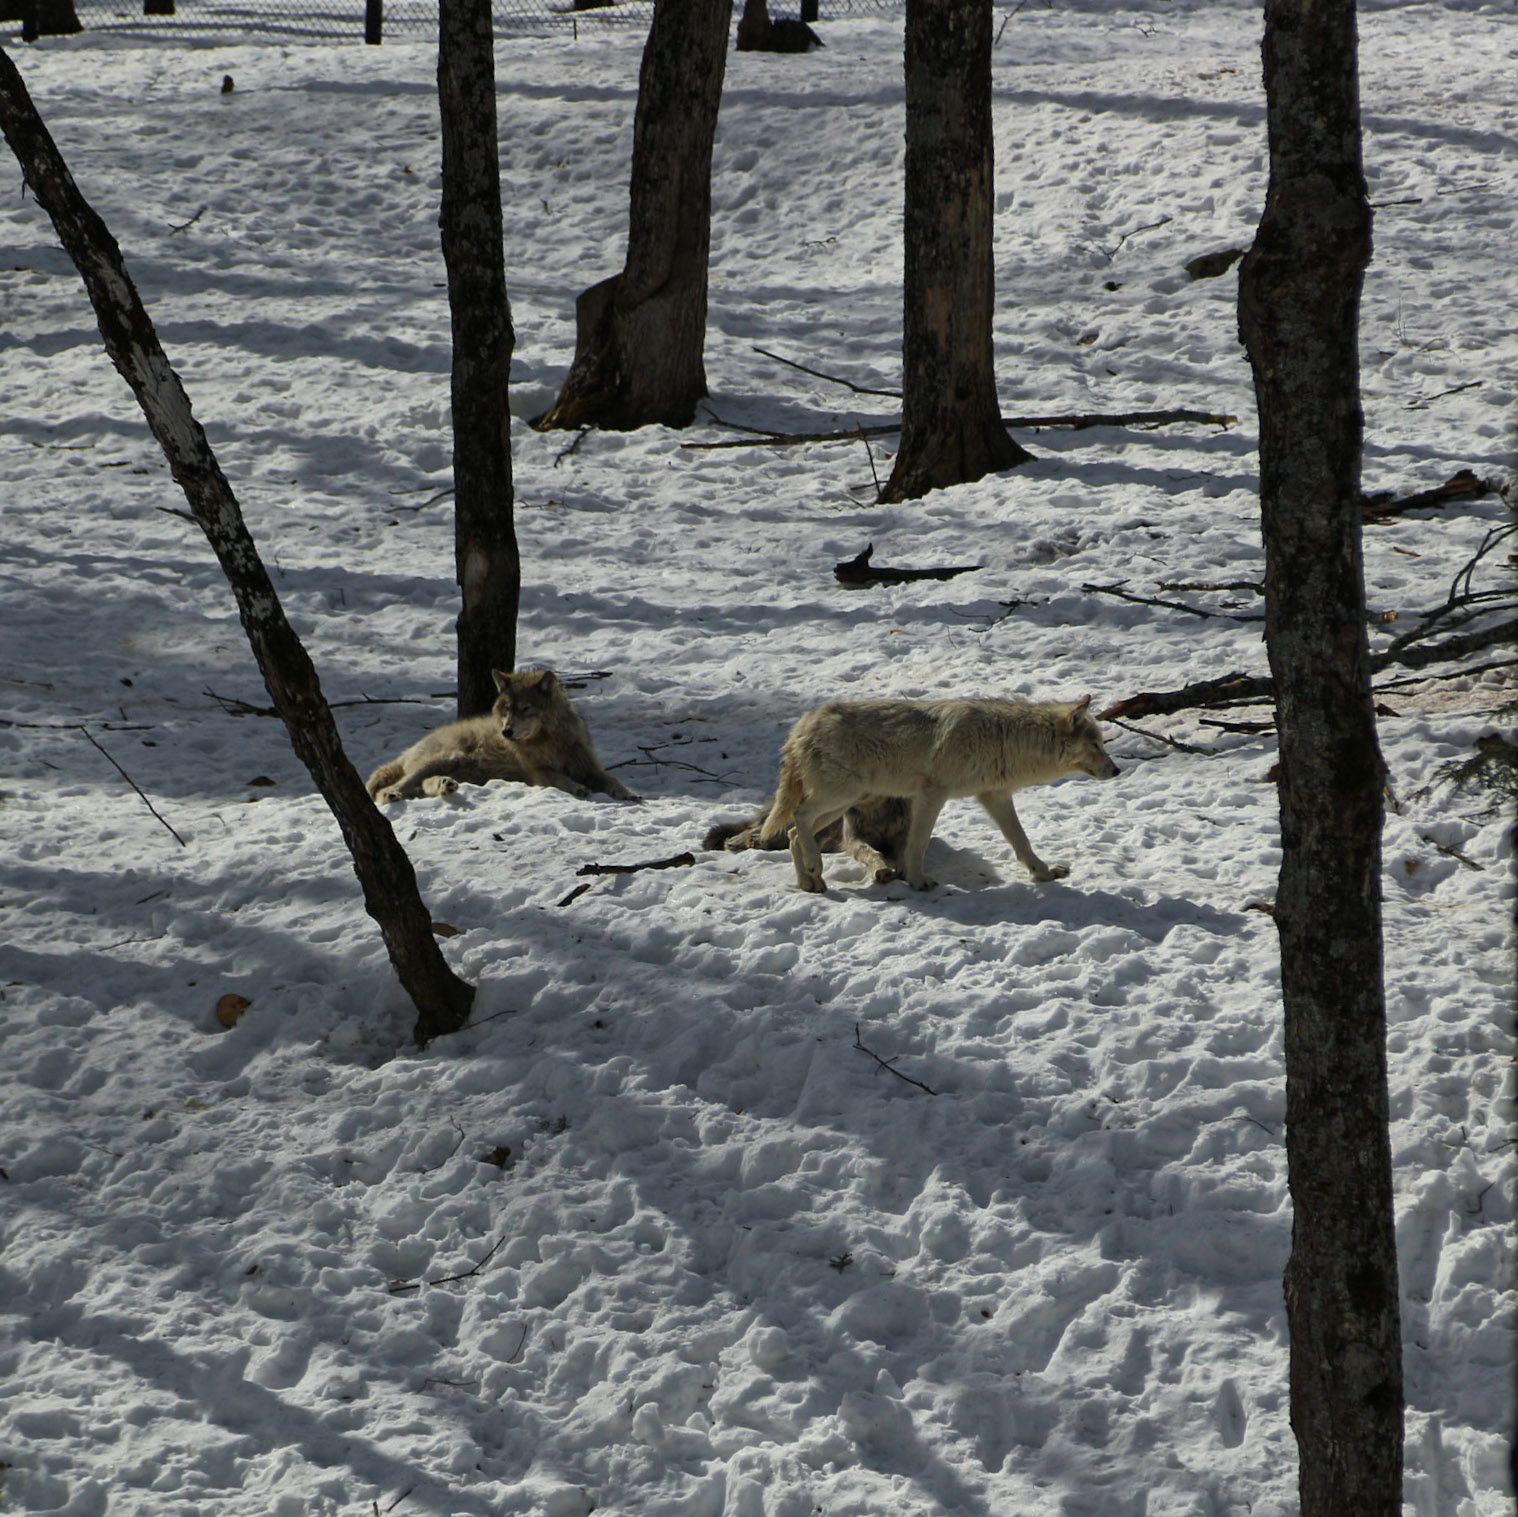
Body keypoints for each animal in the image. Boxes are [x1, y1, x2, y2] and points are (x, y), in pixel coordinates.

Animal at [365, 669, 640, 805]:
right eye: (506, 709)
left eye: (525, 709)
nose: (506, 732)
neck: (550, 741)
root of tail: (406, 751)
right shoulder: (538, 773)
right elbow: (560, 778)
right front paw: (577, 788)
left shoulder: (590, 768)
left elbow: (612, 780)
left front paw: (629, 793)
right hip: (449, 757)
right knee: (396, 786)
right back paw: (391, 796)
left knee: (425, 784)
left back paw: (446, 786)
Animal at [702, 793, 913, 885]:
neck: (875, 808)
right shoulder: (854, 839)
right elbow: (871, 852)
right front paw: (881, 869)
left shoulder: (903, 836)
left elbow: (905, 853)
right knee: (755, 829)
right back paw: (739, 841)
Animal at [759, 694, 1119, 892]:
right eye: (1096, 745)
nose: (1117, 771)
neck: (1003, 739)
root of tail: (801, 725)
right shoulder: (931, 796)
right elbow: (917, 845)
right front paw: (918, 882)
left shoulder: (995, 797)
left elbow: (1022, 841)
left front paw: (1044, 873)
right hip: (842, 795)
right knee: (799, 817)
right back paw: (814, 868)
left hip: (843, 802)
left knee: (793, 832)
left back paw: (811, 883)